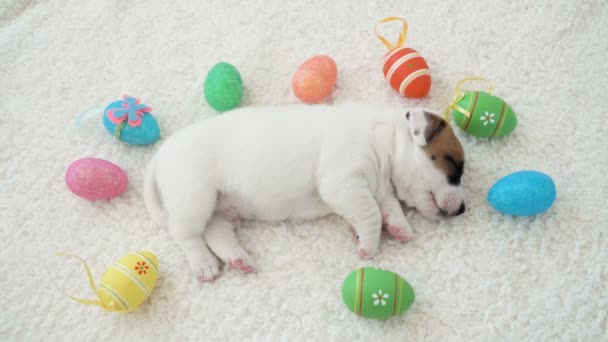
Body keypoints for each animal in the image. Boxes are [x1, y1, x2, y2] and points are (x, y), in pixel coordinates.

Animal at [144, 104, 466, 280]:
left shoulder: (378, 188)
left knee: (216, 231)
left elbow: (388, 207)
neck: (384, 138)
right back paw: (205, 264)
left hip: (220, 208)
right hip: (195, 196)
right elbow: (372, 214)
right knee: (186, 235)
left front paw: (399, 227)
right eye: (454, 166)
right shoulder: (344, 182)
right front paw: (369, 245)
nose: (463, 210)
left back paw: (238, 258)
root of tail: (159, 158)